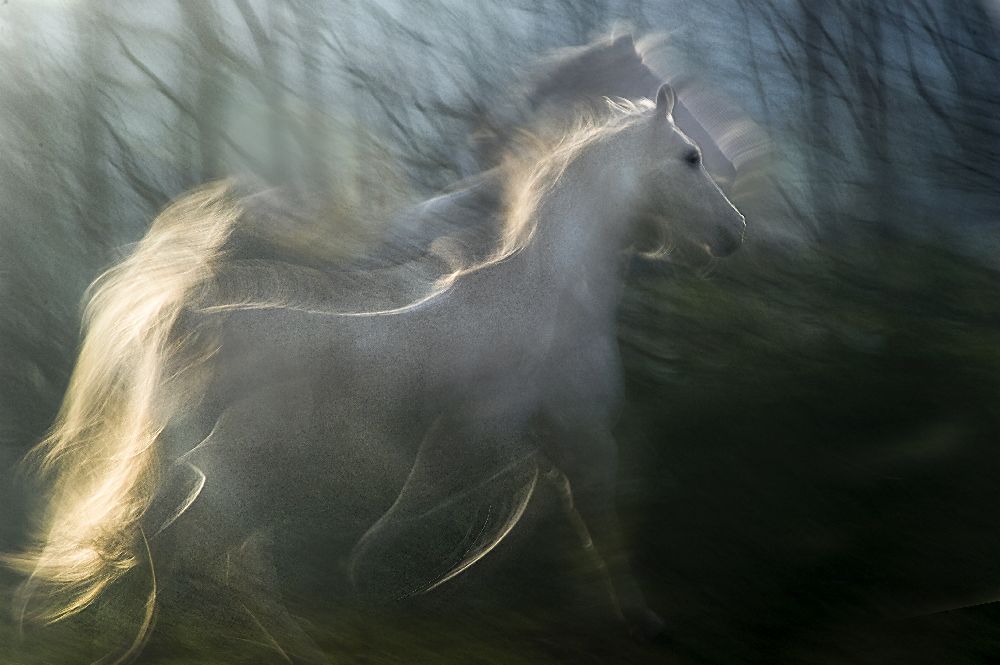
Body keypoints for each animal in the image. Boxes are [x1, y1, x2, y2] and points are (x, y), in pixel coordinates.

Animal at [9, 84, 744, 664]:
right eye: (691, 157)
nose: (733, 233)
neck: (553, 295)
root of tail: (192, 320)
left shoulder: (527, 448)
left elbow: (515, 523)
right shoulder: (580, 436)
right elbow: (590, 523)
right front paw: (643, 621)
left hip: (221, 478)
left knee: (183, 554)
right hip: (249, 475)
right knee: (204, 559)